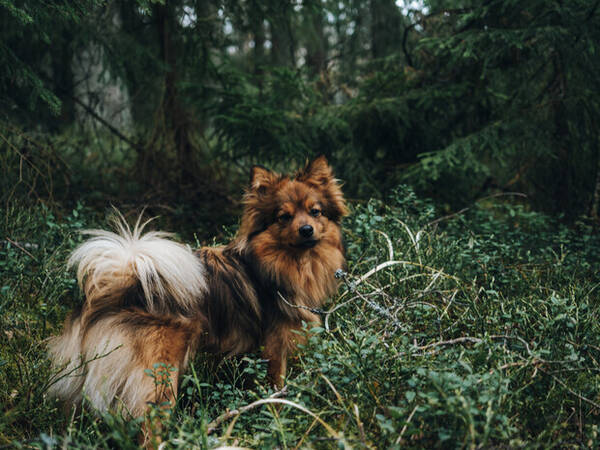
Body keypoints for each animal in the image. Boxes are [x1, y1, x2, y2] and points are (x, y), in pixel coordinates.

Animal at [47, 156, 346, 424]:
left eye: (315, 212)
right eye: (284, 217)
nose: (306, 229)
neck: (286, 263)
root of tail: (119, 291)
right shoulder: (274, 346)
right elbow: (275, 386)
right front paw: (277, 416)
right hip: (160, 376)